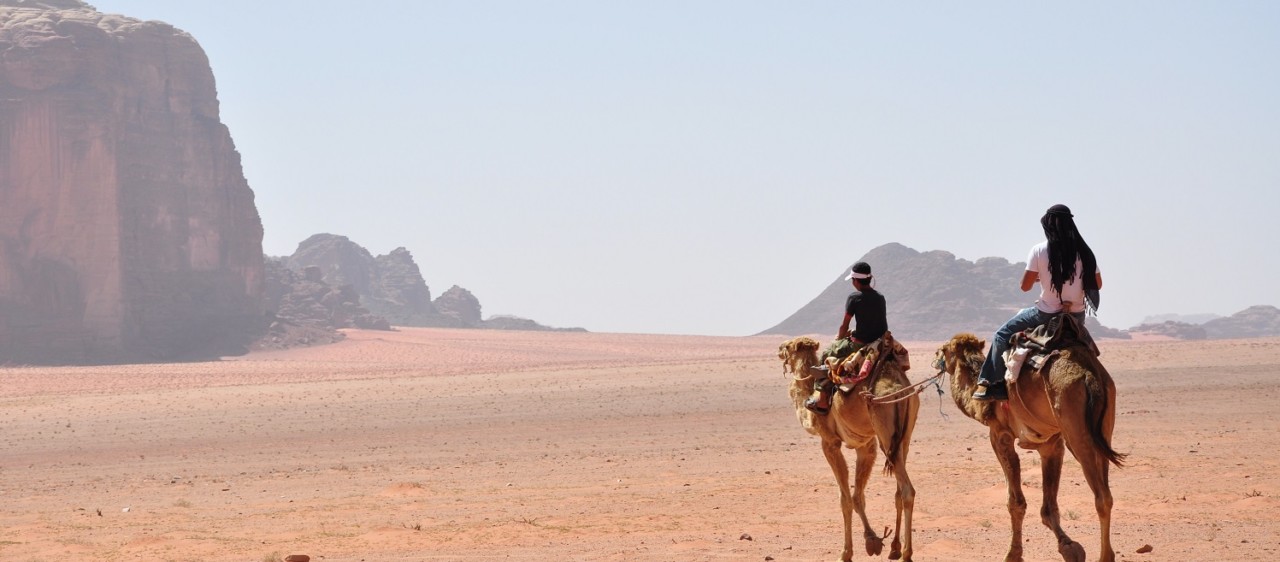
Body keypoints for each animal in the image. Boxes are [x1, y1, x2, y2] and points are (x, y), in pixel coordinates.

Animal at [773, 337, 916, 562]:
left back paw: (907, 554)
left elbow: (846, 500)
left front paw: (847, 552)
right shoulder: (866, 445)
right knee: (899, 491)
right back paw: (895, 548)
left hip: (885, 430)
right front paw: (872, 540)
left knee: (907, 490)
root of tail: (900, 388)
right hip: (903, 437)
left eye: (787, 346)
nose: (779, 349)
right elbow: (858, 497)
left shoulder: (830, 442)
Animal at [936, 335, 1126, 562]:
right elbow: (1049, 507)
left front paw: (1013, 554)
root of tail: (1089, 375)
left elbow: (1015, 502)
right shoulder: (1051, 444)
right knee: (1107, 492)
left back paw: (1104, 556)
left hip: (1076, 430)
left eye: (944, 350)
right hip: (1104, 426)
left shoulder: (999, 434)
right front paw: (1069, 547)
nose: (935, 358)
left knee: (1101, 496)